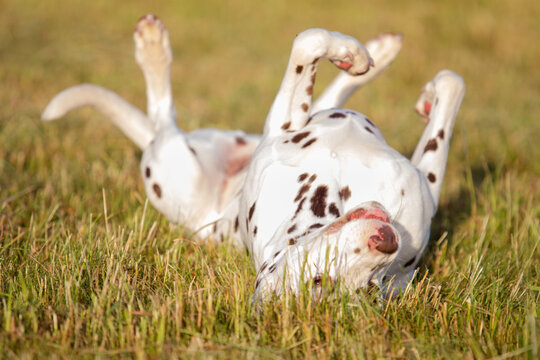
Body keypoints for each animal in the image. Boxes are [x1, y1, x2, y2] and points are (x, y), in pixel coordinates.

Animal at [41, 14, 400, 248]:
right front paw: (353, 53)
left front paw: (354, 55)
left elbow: (309, 43)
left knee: (163, 115)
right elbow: (310, 40)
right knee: (162, 114)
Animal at [238, 27, 466, 298]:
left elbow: (311, 39)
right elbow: (310, 42)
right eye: (319, 280)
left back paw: (378, 51)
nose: (386, 241)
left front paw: (355, 56)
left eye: (371, 283)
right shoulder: (281, 127)